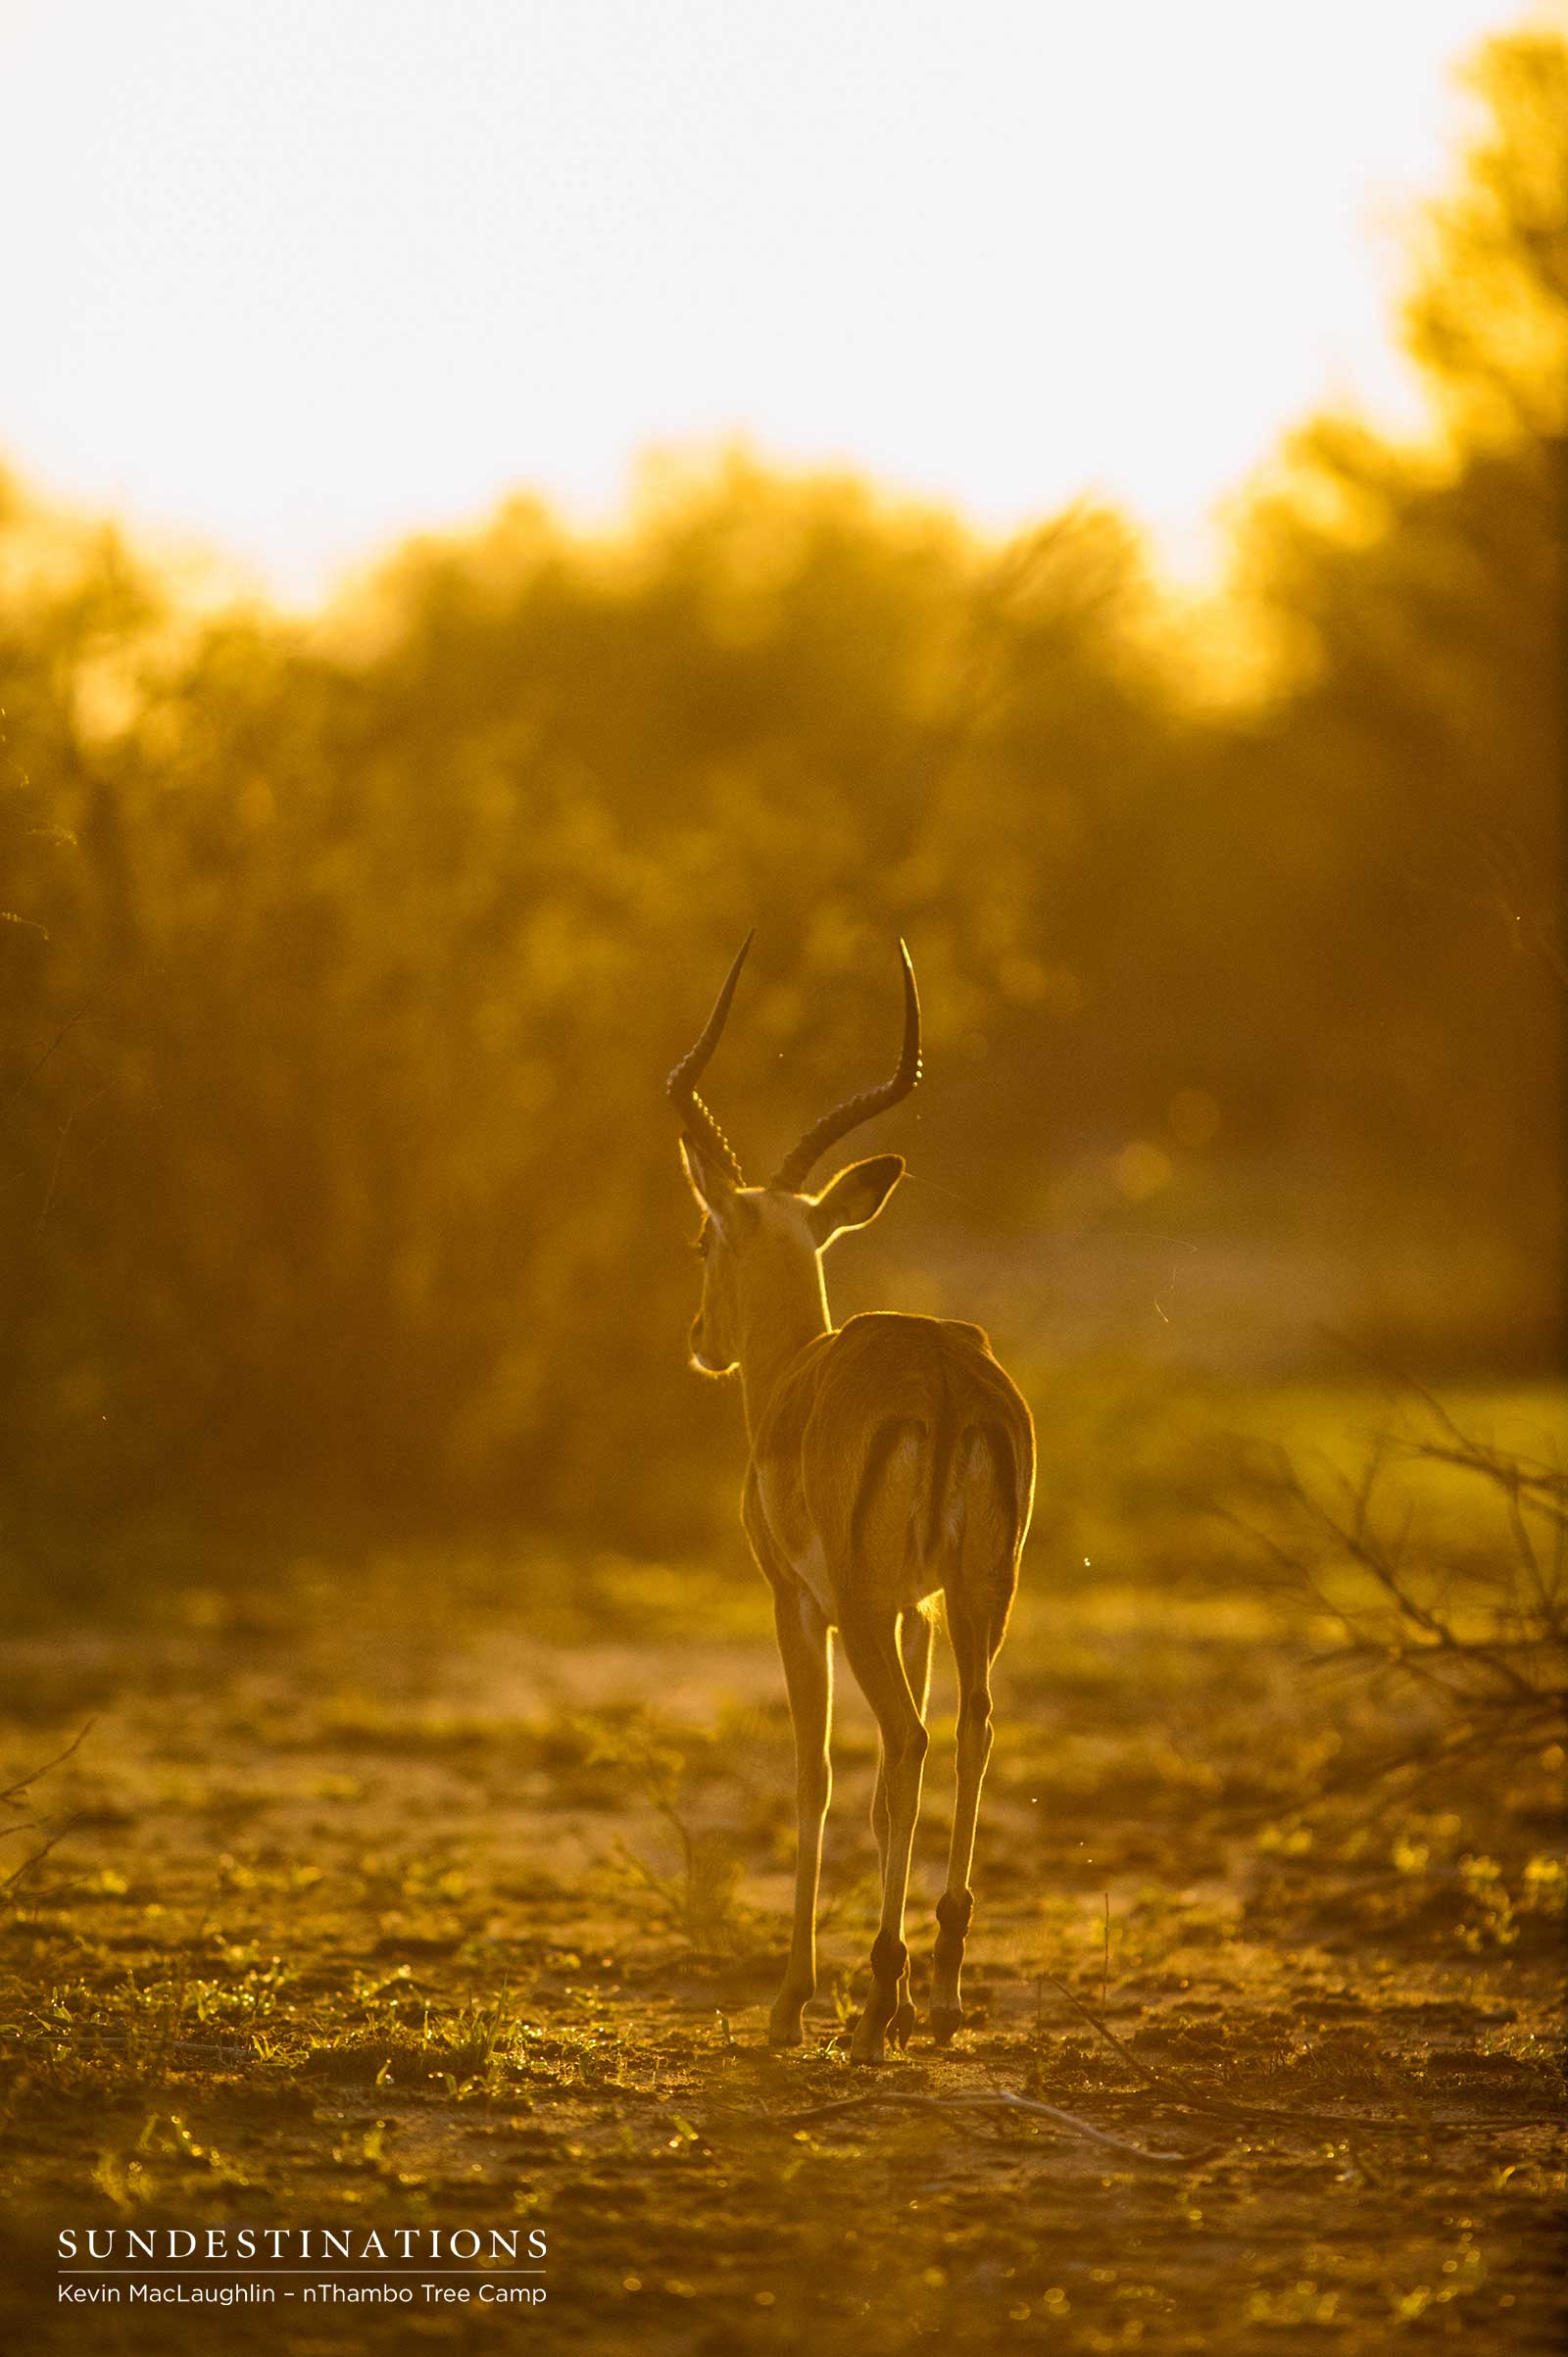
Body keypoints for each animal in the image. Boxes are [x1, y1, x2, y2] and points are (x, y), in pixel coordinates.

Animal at [668, 935, 1035, 2065]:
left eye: (704, 1238)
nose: (702, 1339)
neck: (796, 1370)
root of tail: (948, 1379)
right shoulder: (918, 1607)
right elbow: (881, 1797)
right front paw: (903, 1991)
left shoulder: (799, 1602)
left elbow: (818, 1773)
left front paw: (792, 2002)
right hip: (978, 1594)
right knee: (970, 1729)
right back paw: (943, 1991)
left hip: (870, 1609)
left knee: (911, 1739)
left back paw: (876, 2007)